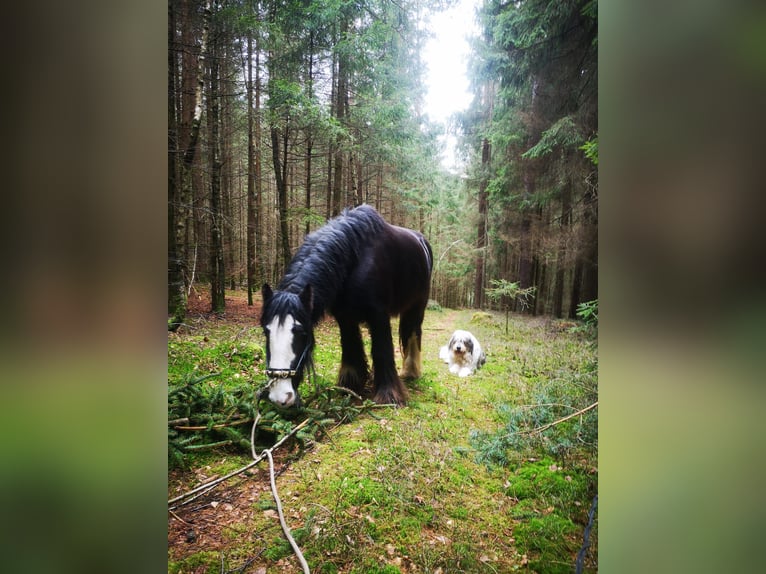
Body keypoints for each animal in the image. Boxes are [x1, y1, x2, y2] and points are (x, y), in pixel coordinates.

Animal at [260, 204, 433, 408]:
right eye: (266, 331)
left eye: (301, 332)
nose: (280, 397)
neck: (353, 259)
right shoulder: (344, 317)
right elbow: (350, 348)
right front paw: (350, 384)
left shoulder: (379, 316)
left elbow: (382, 351)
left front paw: (389, 395)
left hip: (417, 306)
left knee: (414, 332)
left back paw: (411, 372)